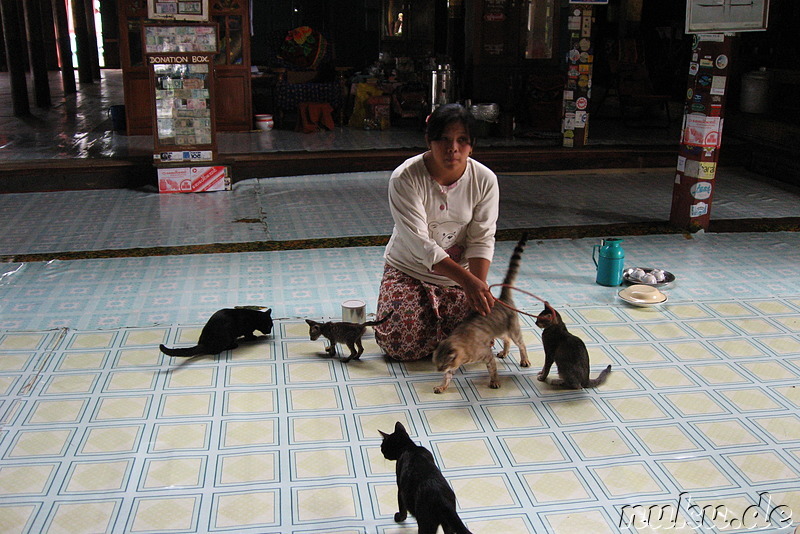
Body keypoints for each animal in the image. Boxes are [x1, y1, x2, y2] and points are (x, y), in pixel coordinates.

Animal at [432, 232, 532, 396]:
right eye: (436, 364)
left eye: (442, 365)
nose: (438, 370)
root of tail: (502, 298)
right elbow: (448, 378)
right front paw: (441, 386)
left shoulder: (486, 354)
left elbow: (493, 370)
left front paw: (495, 382)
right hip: (499, 331)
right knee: (506, 339)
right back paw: (504, 352)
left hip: (513, 329)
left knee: (521, 344)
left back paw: (524, 360)